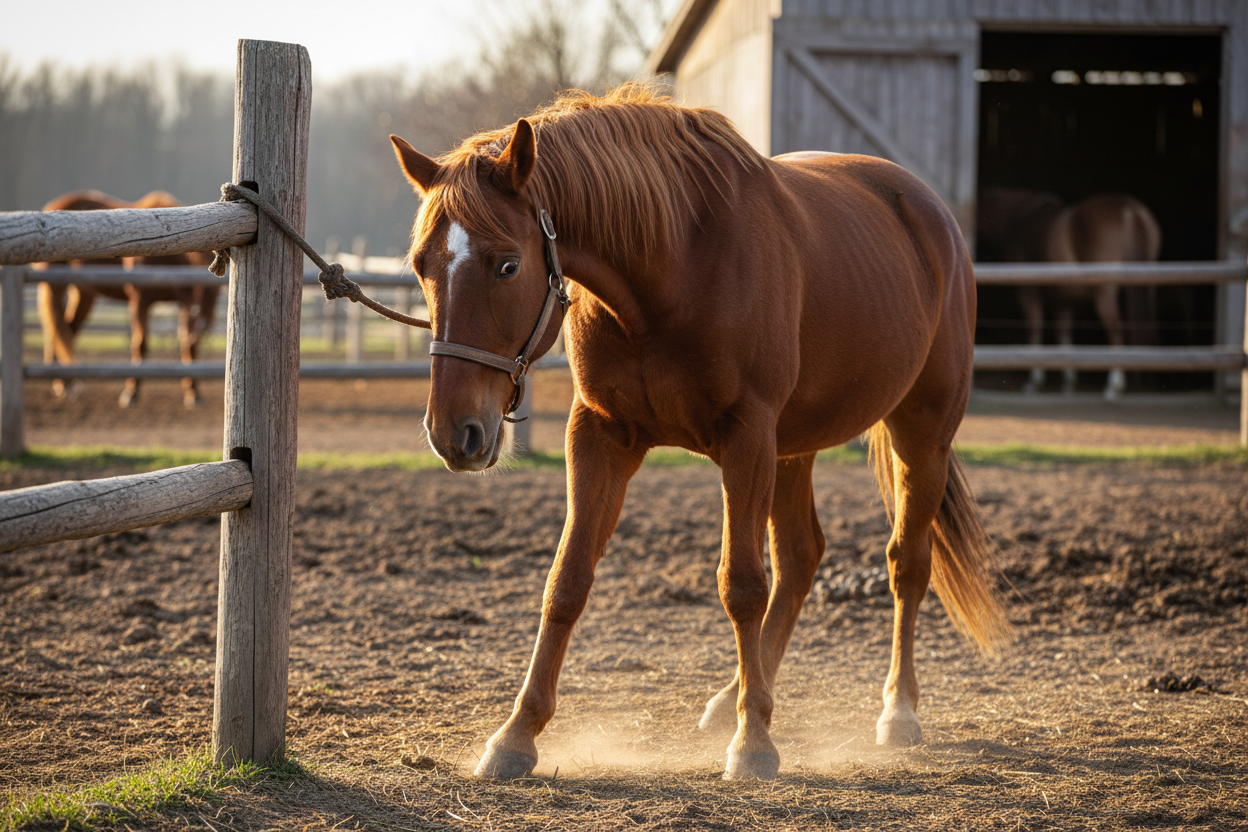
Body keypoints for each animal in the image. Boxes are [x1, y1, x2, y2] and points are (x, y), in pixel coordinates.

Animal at [36, 190, 219, 407]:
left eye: (215, 292)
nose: (201, 323)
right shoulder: (140, 300)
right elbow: (140, 345)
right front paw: (131, 393)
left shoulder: (183, 304)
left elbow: (188, 346)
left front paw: (193, 393)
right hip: (54, 286)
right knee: (56, 329)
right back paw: (62, 385)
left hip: (83, 293)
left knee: (66, 331)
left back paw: (66, 384)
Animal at [389, 84, 1012, 780]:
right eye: (422, 265)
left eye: (506, 265)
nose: (454, 432)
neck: (674, 265)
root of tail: (929, 211)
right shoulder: (601, 434)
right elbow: (567, 580)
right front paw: (516, 734)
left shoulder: (747, 437)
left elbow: (740, 584)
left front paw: (754, 743)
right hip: (793, 448)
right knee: (801, 559)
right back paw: (735, 697)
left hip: (919, 433)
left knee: (906, 562)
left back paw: (896, 711)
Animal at [977, 188, 1162, 398]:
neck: (1018, 221)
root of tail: (1128, 208)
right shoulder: (1064, 301)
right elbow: (1063, 336)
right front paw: (1068, 383)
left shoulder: (1028, 293)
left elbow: (1036, 330)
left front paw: (1034, 382)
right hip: (1148, 284)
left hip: (1104, 291)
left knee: (1116, 329)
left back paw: (1114, 385)